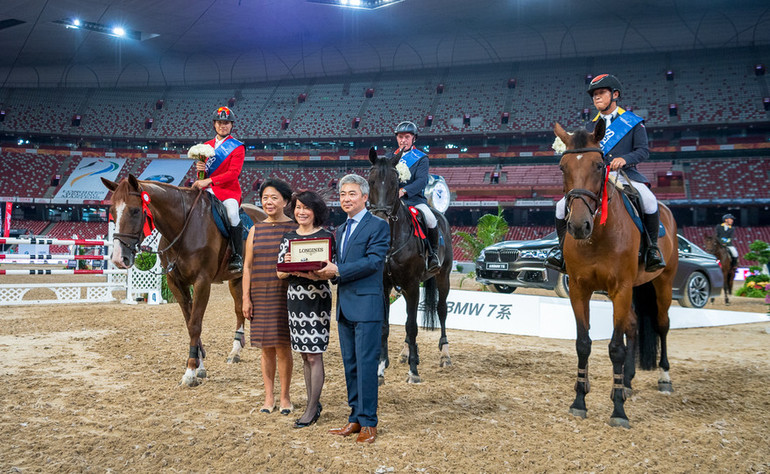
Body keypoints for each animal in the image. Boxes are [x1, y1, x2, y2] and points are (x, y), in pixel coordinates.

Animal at [102, 174, 266, 386]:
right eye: (113, 212)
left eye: (135, 210)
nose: (118, 259)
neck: (183, 227)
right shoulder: (176, 283)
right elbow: (190, 323)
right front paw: (199, 365)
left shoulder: (202, 282)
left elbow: (195, 324)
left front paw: (189, 373)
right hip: (237, 279)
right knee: (240, 309)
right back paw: (235, 351)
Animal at [364, 148, 452, 386]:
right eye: (371, 181)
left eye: (395, 183)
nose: (381, 218)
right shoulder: (384, 285)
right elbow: (385, 327)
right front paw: (380, 369)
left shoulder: (412, 285)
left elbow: (412, 326)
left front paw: (413, 372)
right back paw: (407, 353)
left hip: (443, 277)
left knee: (441, 310)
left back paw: (444, 355)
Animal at [556, 120, 676, 428]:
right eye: (562, 167)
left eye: (600, 165)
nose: (578, 226)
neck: (598, 235)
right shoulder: (579, 289)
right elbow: (583, 343)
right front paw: (579, 401)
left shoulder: (620, 288)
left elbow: (615, 349)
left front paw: (618, 411)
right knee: (632, 326)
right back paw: (628, 383)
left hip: (663, 282)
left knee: (662, 324)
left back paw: (664, 378)